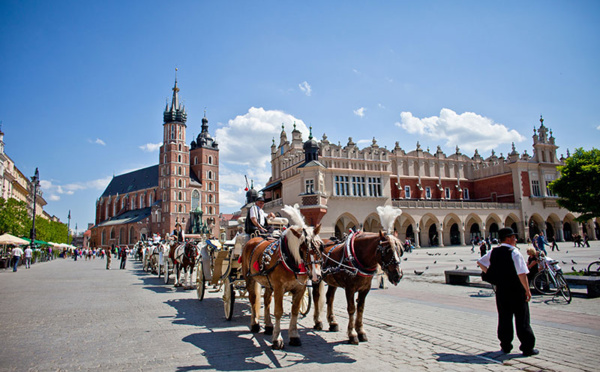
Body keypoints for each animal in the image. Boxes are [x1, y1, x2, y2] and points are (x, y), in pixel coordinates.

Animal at [240, 203, 322, 348]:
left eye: (319, 246)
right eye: (302, 248)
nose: (316, 275)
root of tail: (254, 238)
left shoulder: (300, 289)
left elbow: (295, 311)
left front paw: (294, 336)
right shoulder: (279, 288)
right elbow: (278, 311)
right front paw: (277, 339)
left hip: (267, 282)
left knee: (266, 300)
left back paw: (268, 326)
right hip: (249, 278)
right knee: (253, 299)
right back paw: (255, 324)